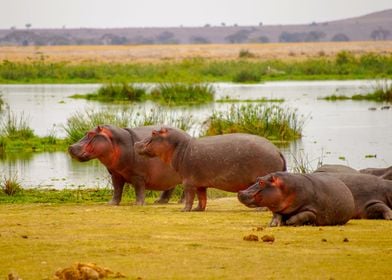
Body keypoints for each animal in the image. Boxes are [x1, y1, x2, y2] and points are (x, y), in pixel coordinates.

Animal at [134, 126, 284, 210]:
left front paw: (184, 210)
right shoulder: (200, 184)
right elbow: (202, 198)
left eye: (154, 133)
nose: (136, 143)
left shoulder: (188, 182)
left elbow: (189, 197)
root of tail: (277, 150)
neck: (179, 146)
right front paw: (197, 209)